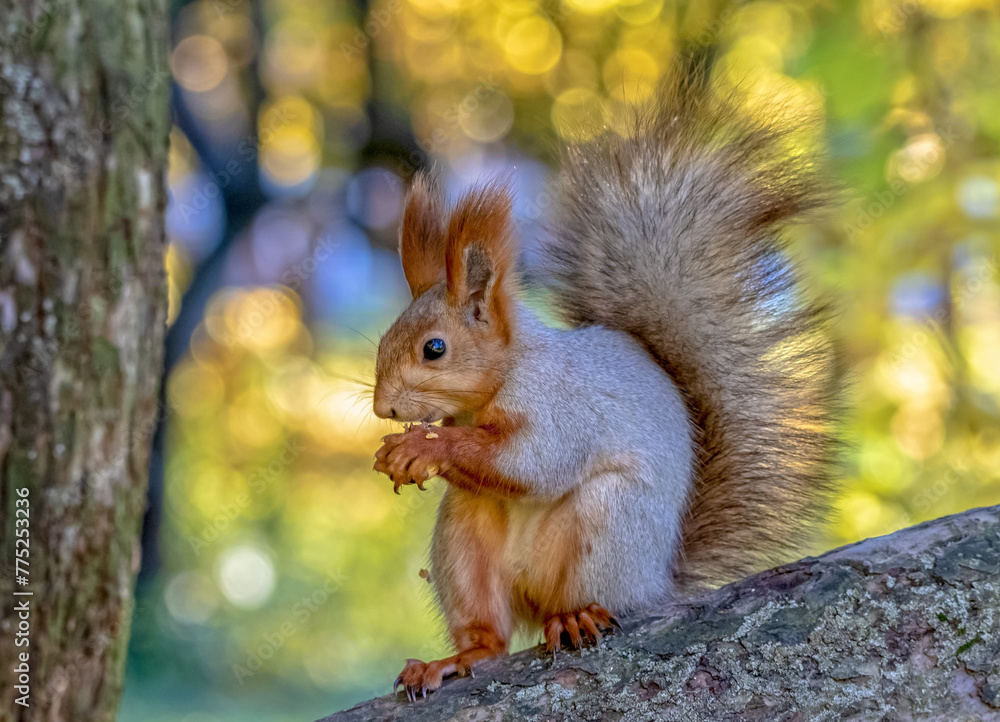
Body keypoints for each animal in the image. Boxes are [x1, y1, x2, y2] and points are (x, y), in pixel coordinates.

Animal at [372, 67, 837, 701]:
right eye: (382, 340)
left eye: (434, 349)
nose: (382, 407)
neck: (507, 375)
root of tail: (657, 580)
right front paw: (402, 451)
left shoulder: (561, 405)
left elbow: (535, 461)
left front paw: (423, 445)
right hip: (464, 538)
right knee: (489, 633)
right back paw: (457, 658)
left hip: (609, 524)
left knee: (584, 595)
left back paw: (576, 616)